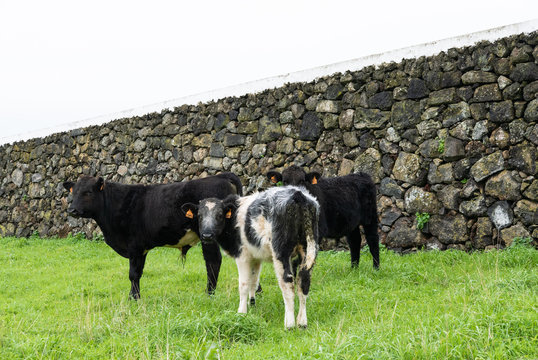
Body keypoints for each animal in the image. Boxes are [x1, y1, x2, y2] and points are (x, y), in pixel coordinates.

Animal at [61, 173, 243, 300]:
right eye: (73, 193)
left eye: (88, 192)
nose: (72, 210)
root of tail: (221, 175)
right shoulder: (141, 249)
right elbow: (138, 273)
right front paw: (135, 296)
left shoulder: (134, 246)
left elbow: (133, 274)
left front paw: (133, 299)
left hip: (208, 235)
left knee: (213, 262)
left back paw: (209, 294)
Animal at [182, 186, 320, 330]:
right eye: (199, 216)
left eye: (219, 215)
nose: (207, 235)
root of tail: (297, 194)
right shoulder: (256, 257)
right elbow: (254, 282)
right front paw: (252, 305)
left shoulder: (242, 256)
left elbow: (244, 284)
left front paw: (241, 313)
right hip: (308, 251)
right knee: (303, 284)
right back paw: (302, 322)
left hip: (281, 254)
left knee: (288, 286)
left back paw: (289, 324)